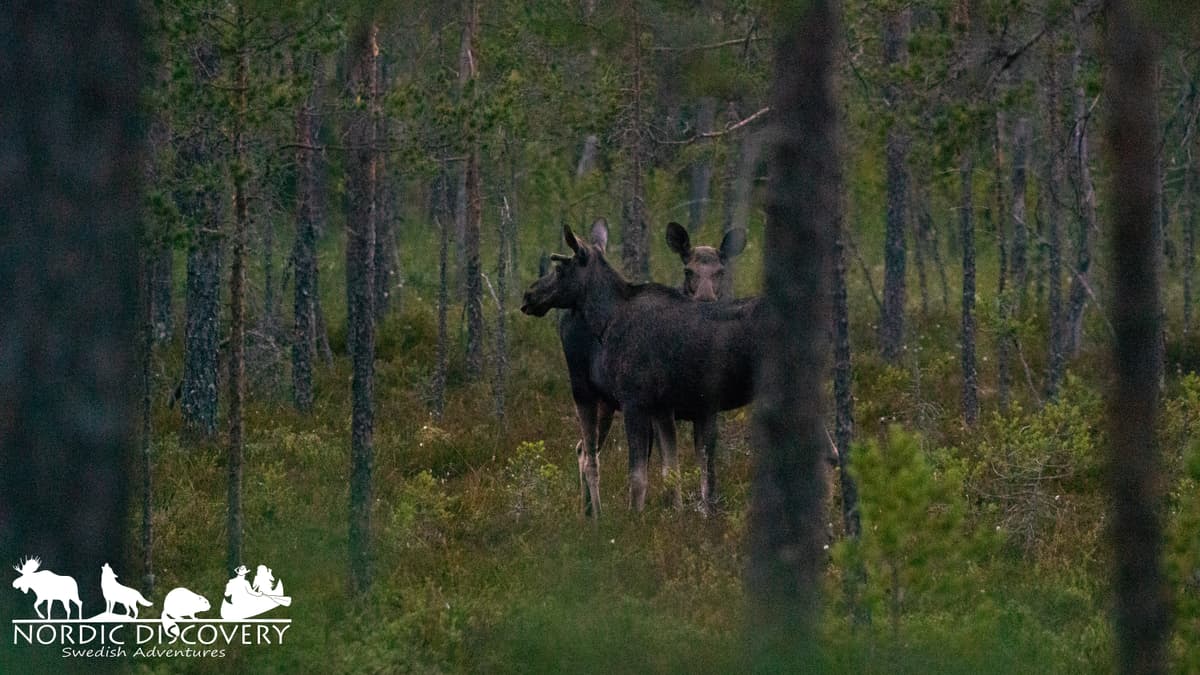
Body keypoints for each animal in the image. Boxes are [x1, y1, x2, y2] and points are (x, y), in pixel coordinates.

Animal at [523, 223, 762, 516]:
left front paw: (635, 520)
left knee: (588, 455)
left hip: (586, 393)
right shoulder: (664, 407)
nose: (529, 294)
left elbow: (639, 477)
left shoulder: (635, 402)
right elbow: (675, 474)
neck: (606, 320)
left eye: (559, 268)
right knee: (587, 453)